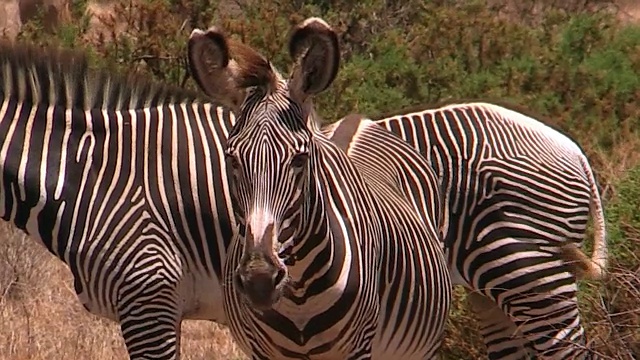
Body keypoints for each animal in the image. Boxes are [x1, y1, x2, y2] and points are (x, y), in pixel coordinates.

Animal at [186, 17, 450, 360]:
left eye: (300, 159)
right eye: (231, 159)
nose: (259, 280)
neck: (300, 296)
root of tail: (360, 120)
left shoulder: (359, 347)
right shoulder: (261, 350)